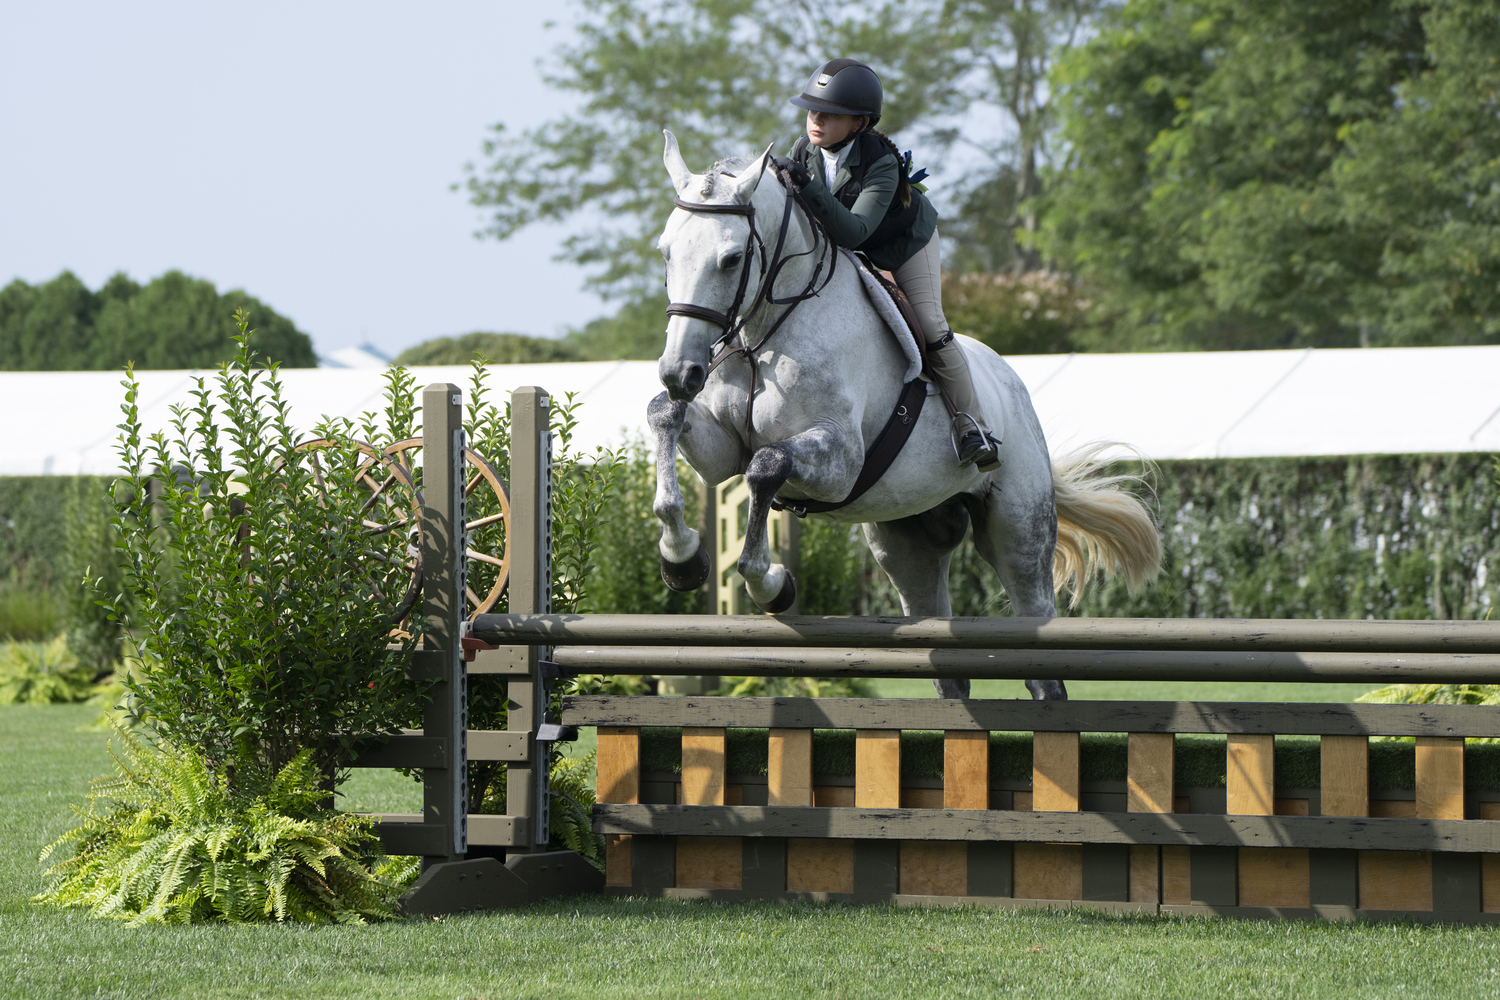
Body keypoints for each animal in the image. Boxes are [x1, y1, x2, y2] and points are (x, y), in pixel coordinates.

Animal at [645, 128, 1158, 701]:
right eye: (666, 253)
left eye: (732, 259)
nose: (680, 371)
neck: (767, 333)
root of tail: (1015, 386)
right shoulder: (720, 455)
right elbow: (665, 417)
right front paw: (682, 559)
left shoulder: (840, 462)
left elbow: (766, 466)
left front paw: (772, 585)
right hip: (906, 543)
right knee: (942, 653)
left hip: (1020, 533)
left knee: (1037, 639)